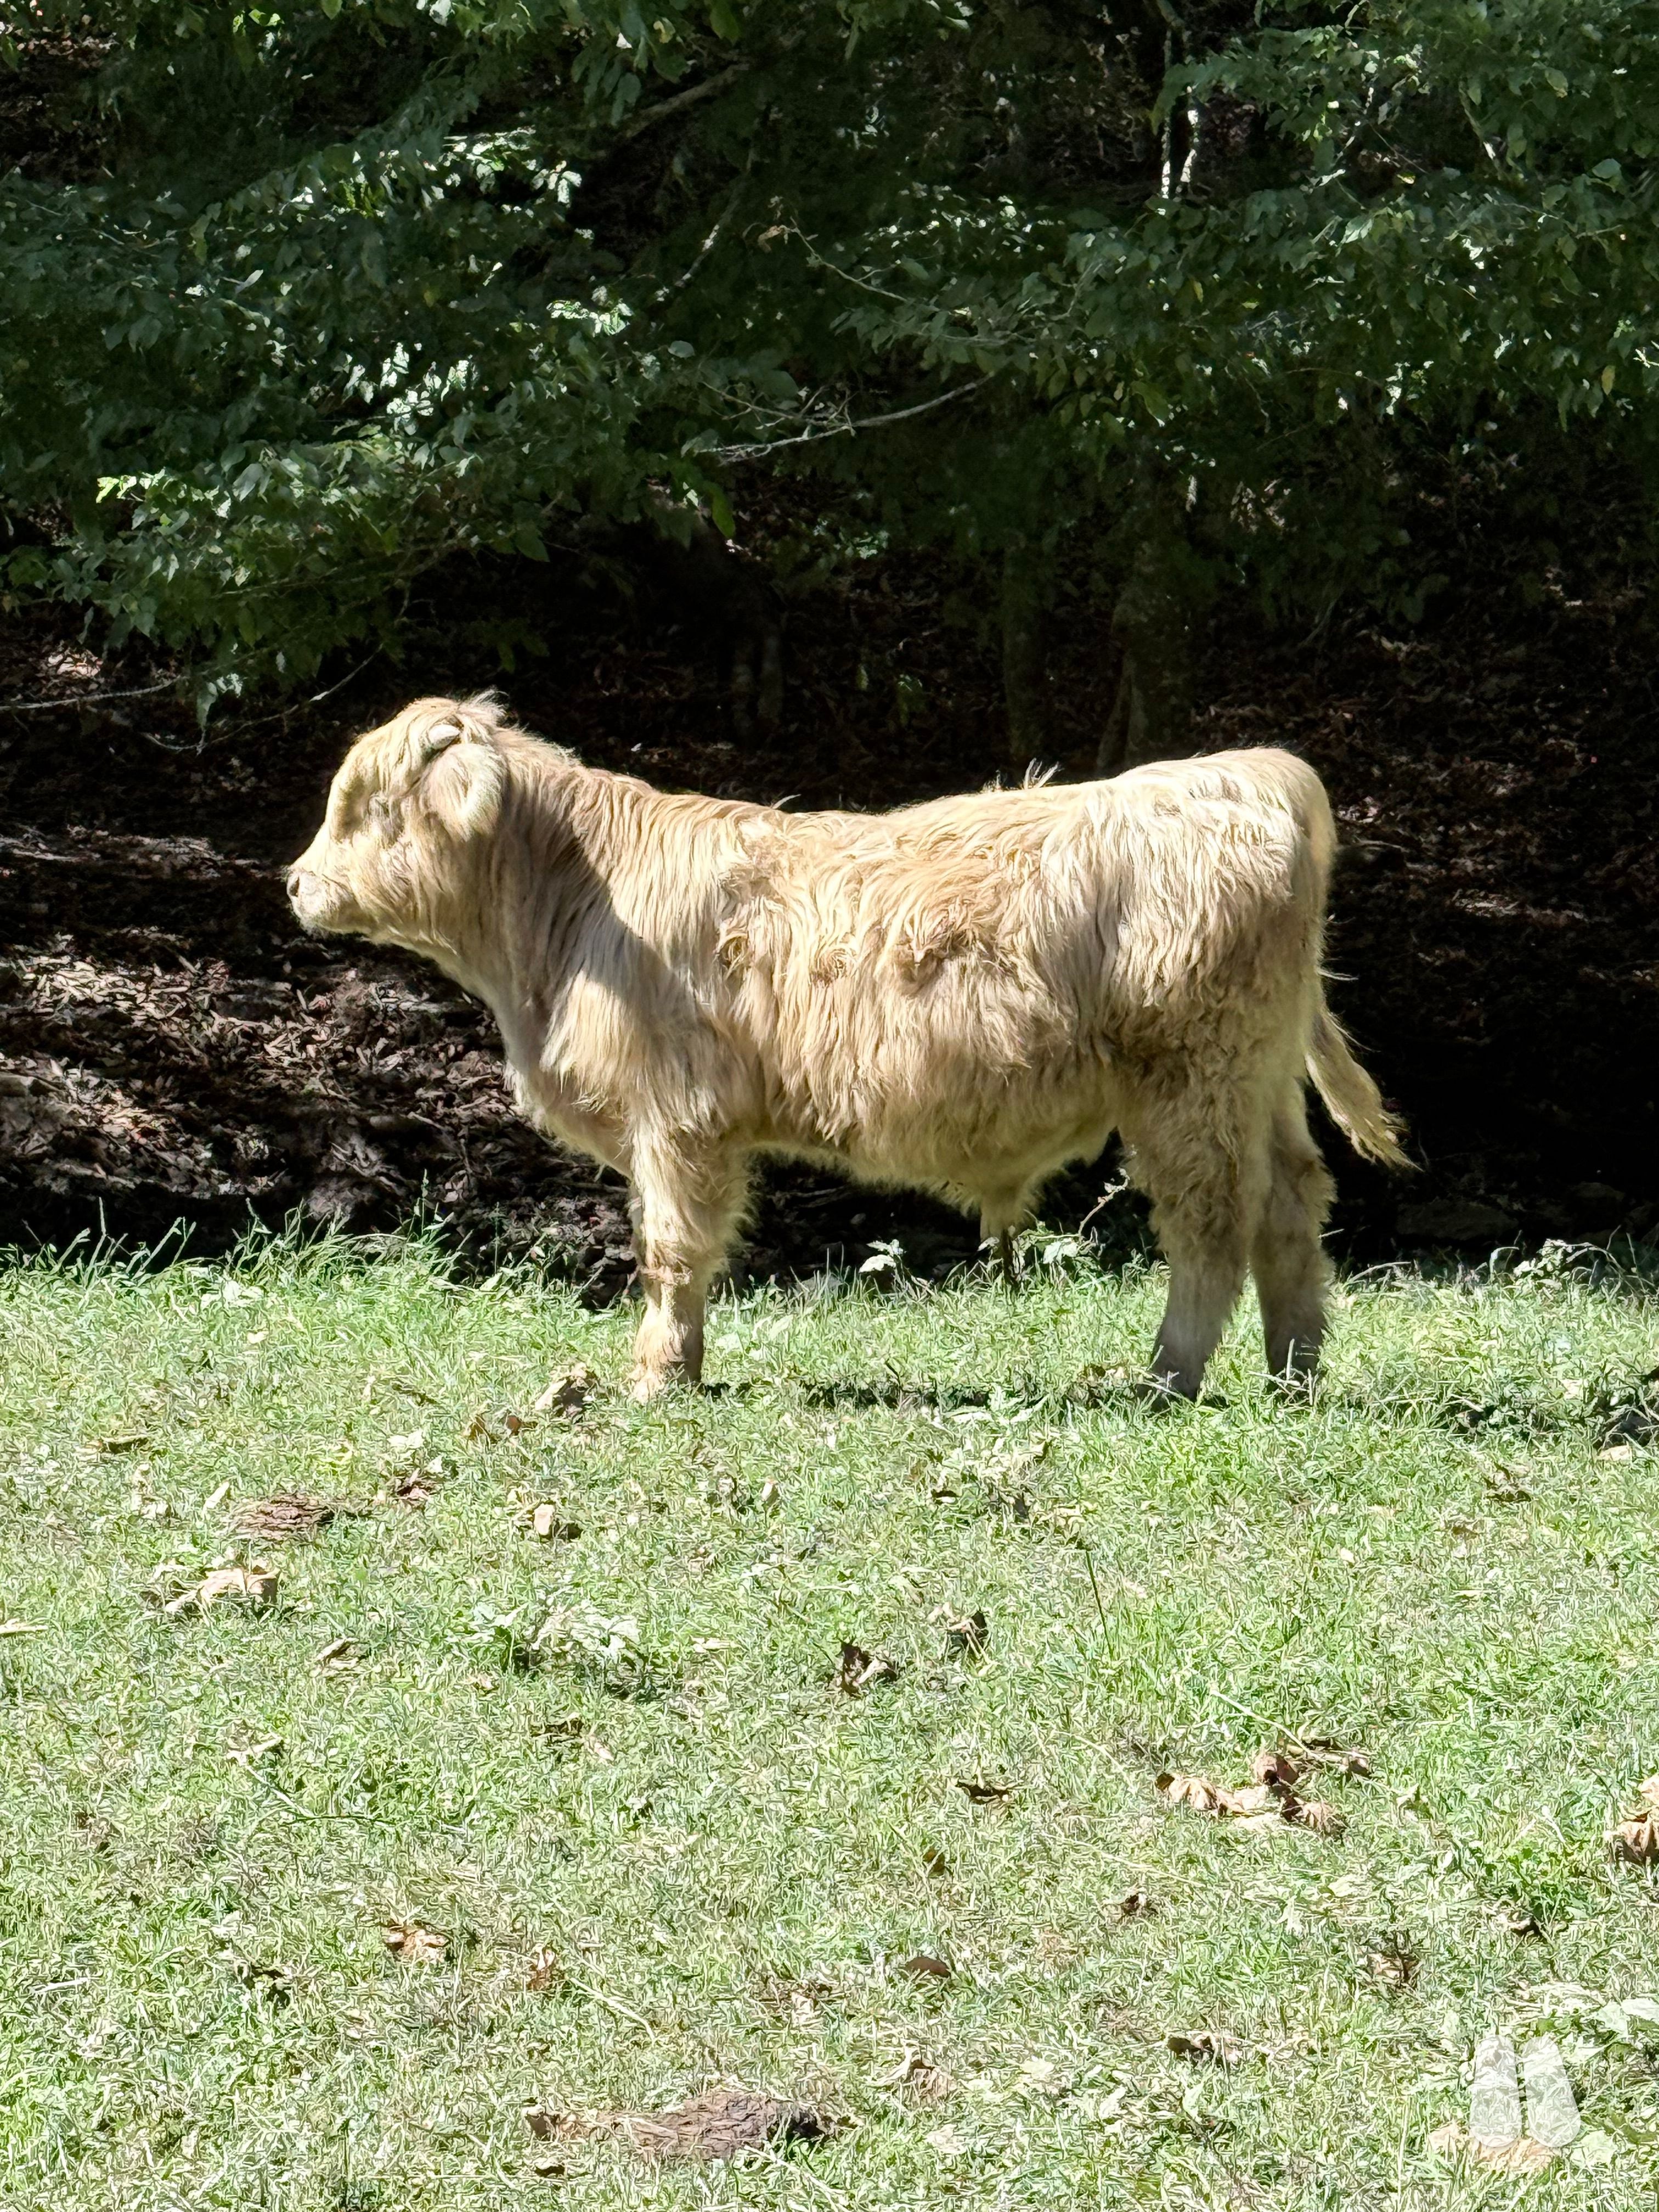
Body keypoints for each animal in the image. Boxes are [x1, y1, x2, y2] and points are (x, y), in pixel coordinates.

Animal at [287, 695, 1406, 1400]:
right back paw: (1292, 1369)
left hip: (1192, 1082)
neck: (561, 918)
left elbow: (671, 1250)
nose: (295, 882)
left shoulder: (675, 1118)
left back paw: (1168, 1375)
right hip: (1256, 1079)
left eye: (363, 807)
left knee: (1212, 1222)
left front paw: (659, 1376)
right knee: (1290, 1204)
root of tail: (1234, 773)